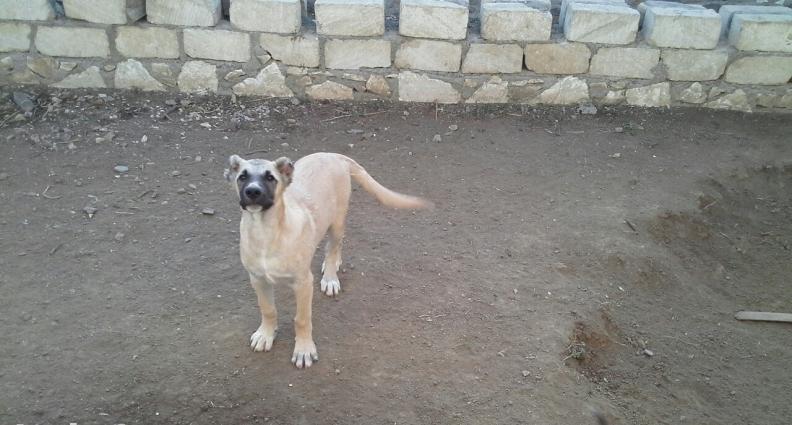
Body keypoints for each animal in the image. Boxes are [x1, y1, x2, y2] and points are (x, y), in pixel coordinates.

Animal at [225, 152, 430, 368]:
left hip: (337, 221)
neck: (265, 232)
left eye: (270, 177)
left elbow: (302, 319)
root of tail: (332, 155)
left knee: (333, 247)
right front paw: (265, 334)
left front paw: (304, 349)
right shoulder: (258, 279)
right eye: (242, 177)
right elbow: (268, 309)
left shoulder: (303, 283)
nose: (253, 192)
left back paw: (331, 277)